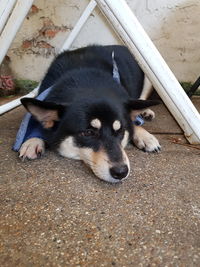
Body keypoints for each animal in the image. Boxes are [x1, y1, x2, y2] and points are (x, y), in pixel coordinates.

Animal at [18, 45, 159, 184]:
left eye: (120, 130)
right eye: (88, 133)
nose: (121, 172)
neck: (85, 79)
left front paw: (144, 135)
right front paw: (32, 141)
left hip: (149, 78)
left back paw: (145, 112)